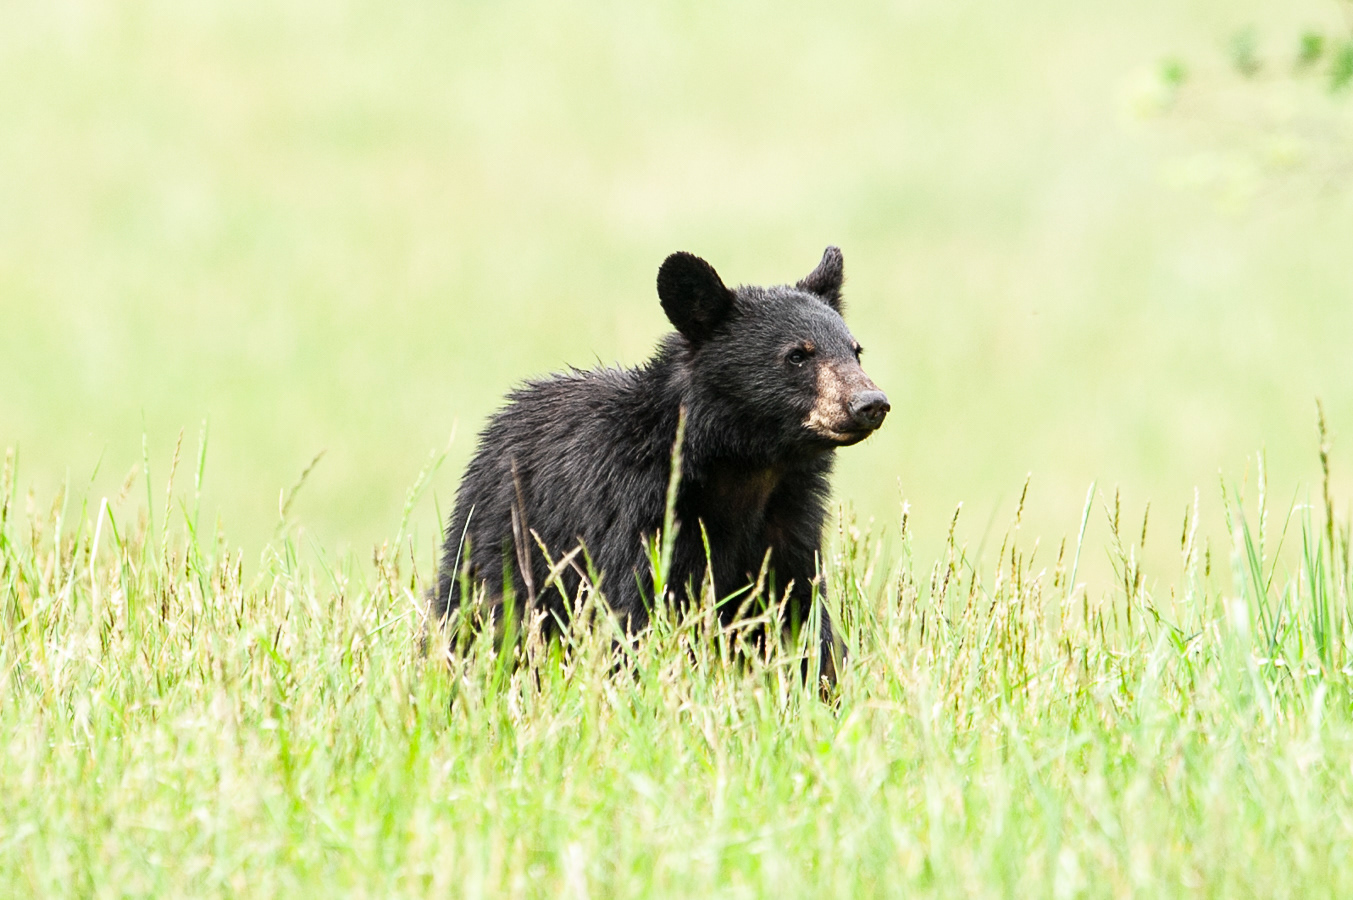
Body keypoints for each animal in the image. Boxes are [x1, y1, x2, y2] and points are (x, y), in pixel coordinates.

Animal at [431, 246, 888, 680]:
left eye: (855, 351)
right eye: (797, 355)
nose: (871, 403)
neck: (742, 471)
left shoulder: (788, 525)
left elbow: (801, 616)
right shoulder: (636, 518)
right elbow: (635, 615)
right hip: (499, 544)